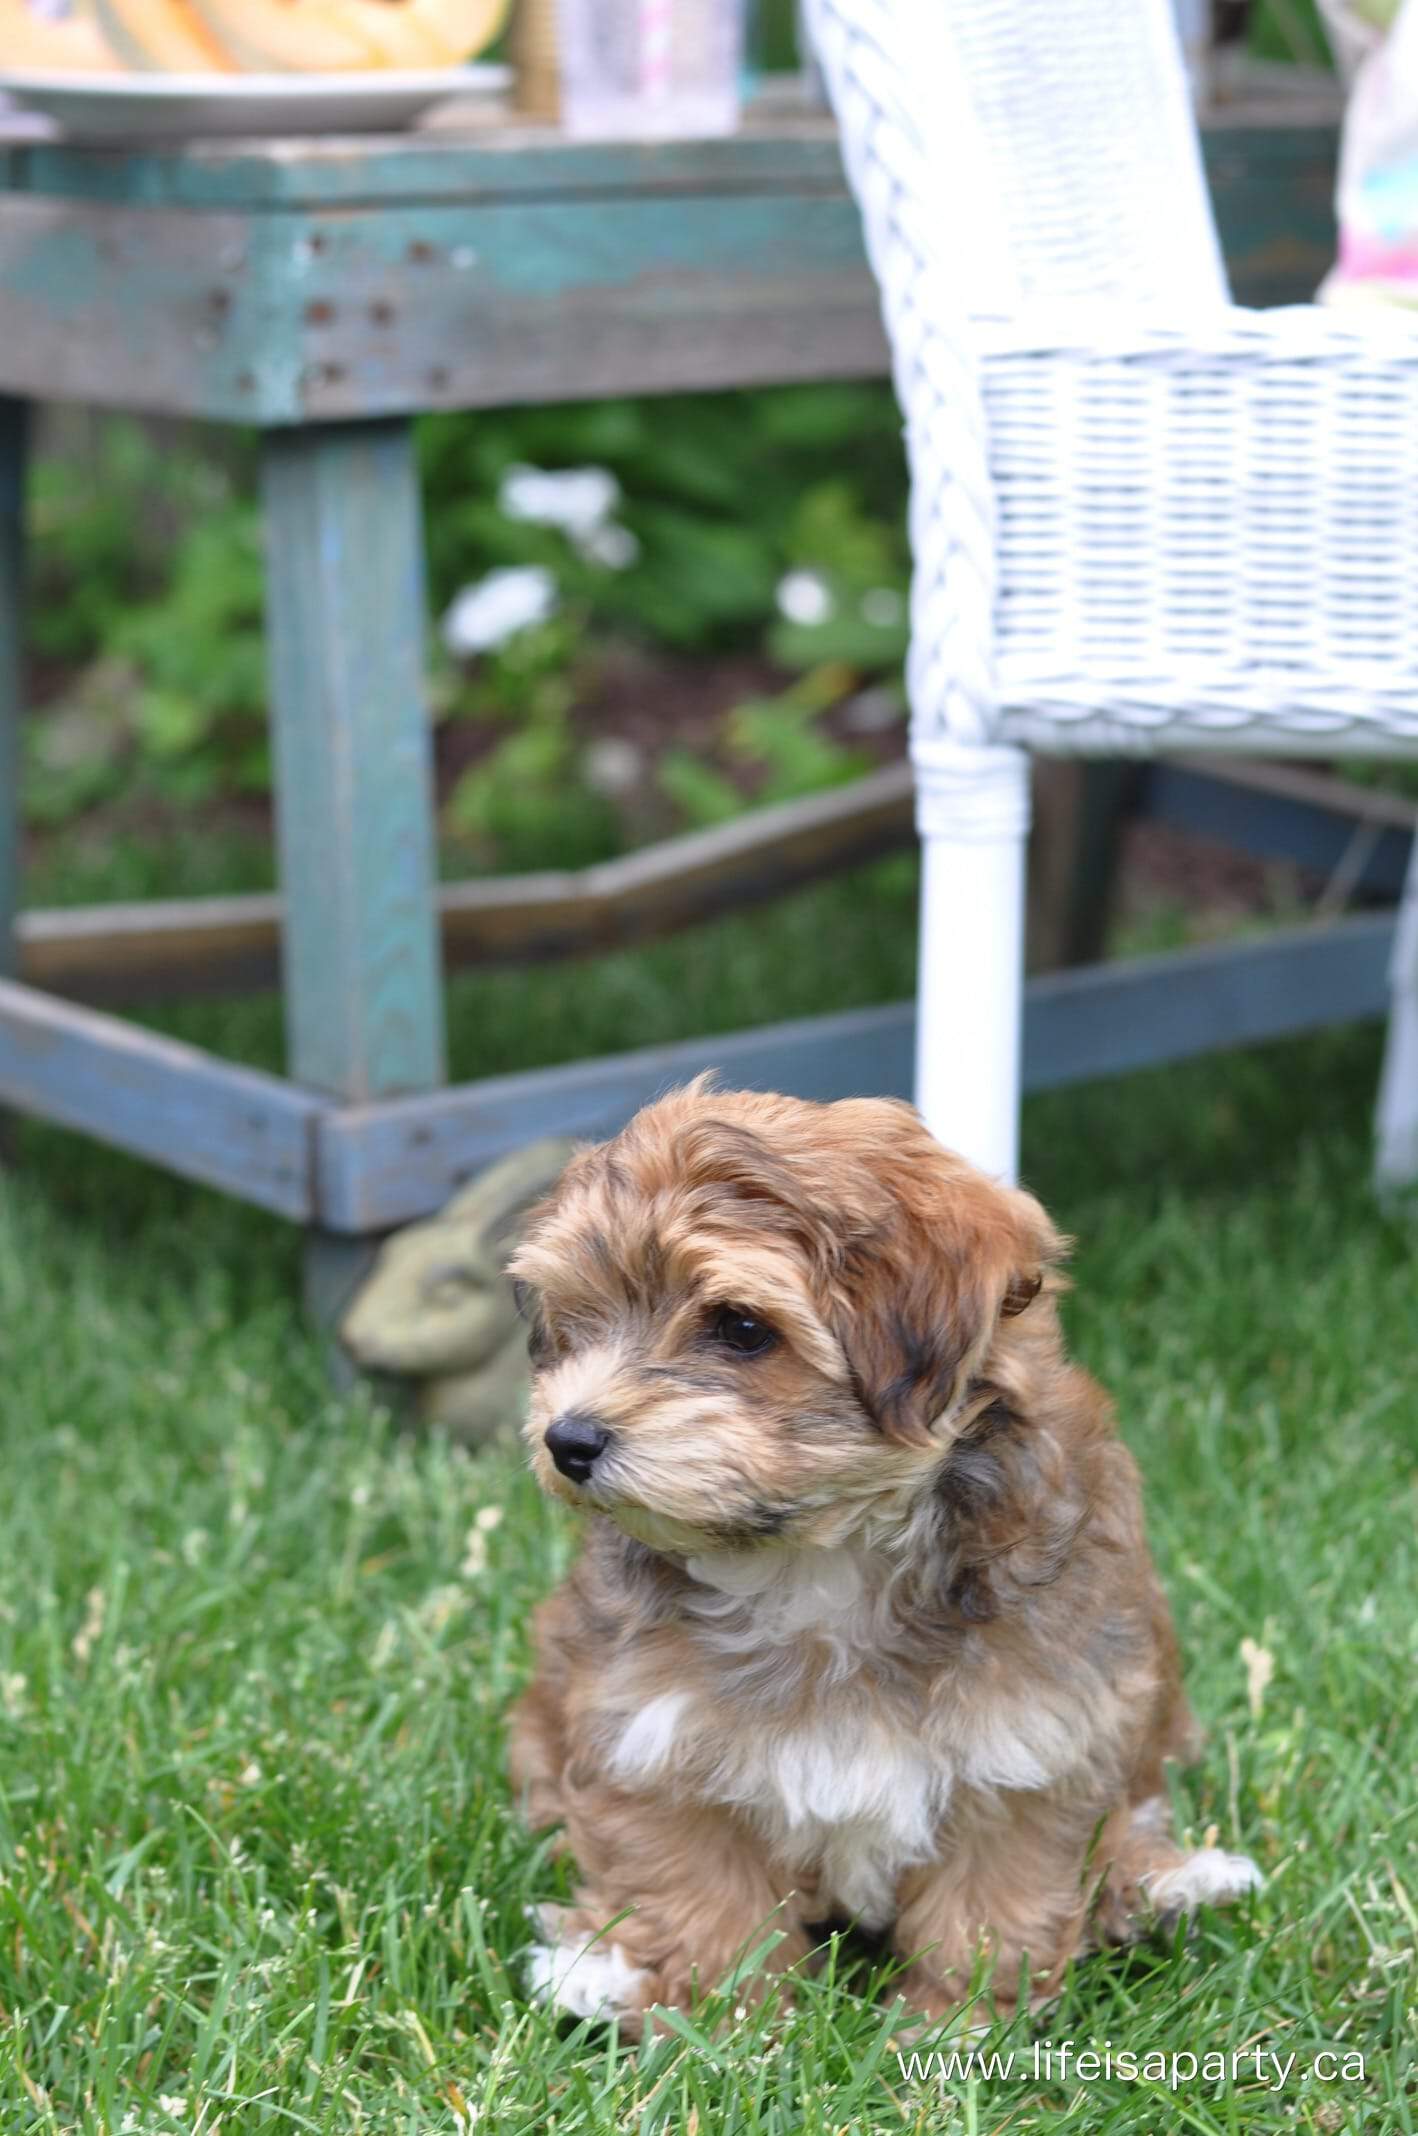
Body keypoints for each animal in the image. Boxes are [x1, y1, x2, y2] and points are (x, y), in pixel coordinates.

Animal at [503, 1085, 1255, 2033]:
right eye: (580, 1321)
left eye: (740, 1328)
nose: (569, 1439)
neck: (821, 1558)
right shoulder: (650, 1736)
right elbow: (702, 1894)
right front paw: (724, 2020)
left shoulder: (1033, 1737)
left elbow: (991, 1903)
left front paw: (952, 2026)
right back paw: (597, 1972)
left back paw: (1166, 1886)